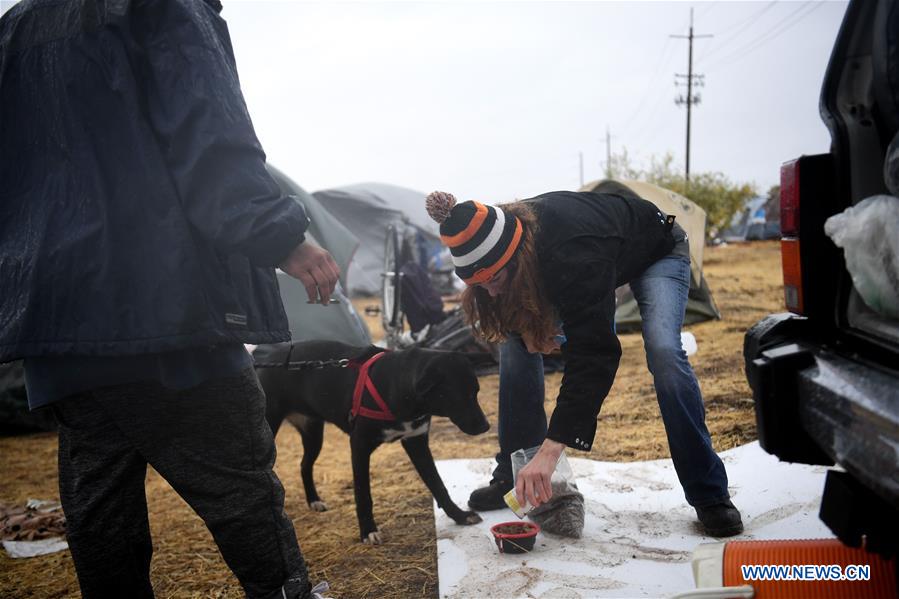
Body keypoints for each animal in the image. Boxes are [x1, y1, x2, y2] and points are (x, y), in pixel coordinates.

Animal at [253, 342, 492, 544]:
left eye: (476, 391)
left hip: (313, 434)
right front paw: (368, 531)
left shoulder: (416, 442)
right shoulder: (359, 446)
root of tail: (271, 355)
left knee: (304, 465)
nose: (486, 426)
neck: (395, 385)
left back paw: (314, 500)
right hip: (270, 427)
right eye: (458, 396)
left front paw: (459, 516)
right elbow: (363, 493)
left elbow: (437, 484)